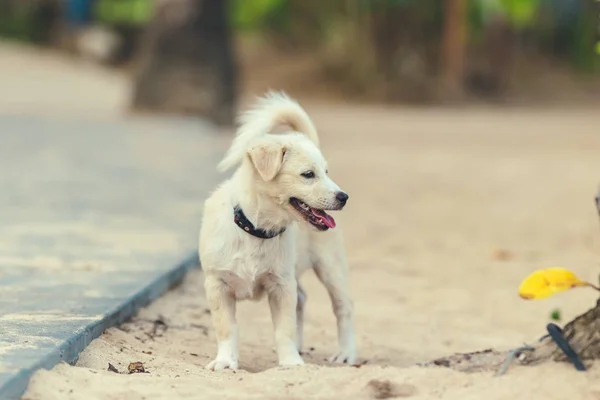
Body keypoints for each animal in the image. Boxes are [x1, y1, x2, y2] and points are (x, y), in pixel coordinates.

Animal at [199, 91, 354, 372]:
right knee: (303, 298)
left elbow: (284, 329)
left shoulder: (282, 285)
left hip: (330, 265)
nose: (344, 197)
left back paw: (346, 354)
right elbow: (227, 329)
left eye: (326, 172)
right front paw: (226, 361)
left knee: (344, 307)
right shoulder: (217, 285)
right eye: (308, 174)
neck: (256, 230)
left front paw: (290, 363)